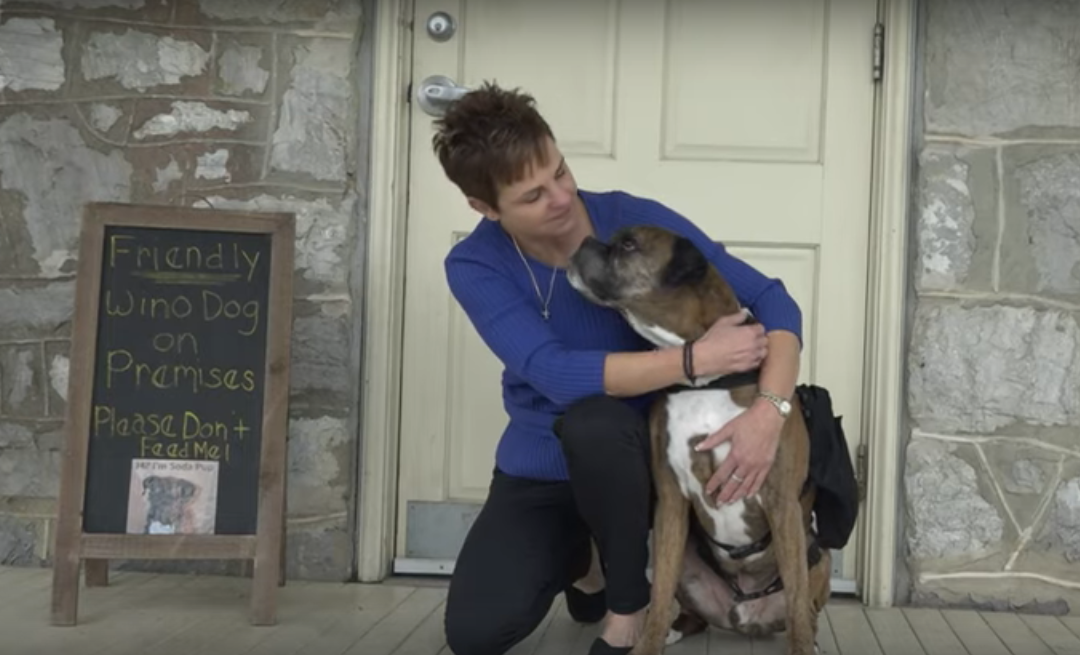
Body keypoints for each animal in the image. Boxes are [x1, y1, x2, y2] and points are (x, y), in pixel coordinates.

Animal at [566, 225, 856, 655]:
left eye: (629, 244)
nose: (584, 241)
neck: (706, 381)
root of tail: (743, 617)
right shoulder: (670, 503)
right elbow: (658, 593)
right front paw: (648, 642)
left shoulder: (781, 502)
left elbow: (798, 603)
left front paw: (804, 647)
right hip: (688, 561)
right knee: (690, 612)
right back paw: (674, 630)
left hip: (816, 556)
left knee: (804, 609)